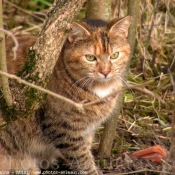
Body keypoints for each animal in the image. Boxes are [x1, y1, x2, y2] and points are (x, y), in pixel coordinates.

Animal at [0, 15, 131, 174]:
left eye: (114, 55)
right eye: (90, 57)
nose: (105, 72)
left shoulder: (86, 131)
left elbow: (86, 149)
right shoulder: (63, 129)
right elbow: (82, 158)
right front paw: (92, 170)